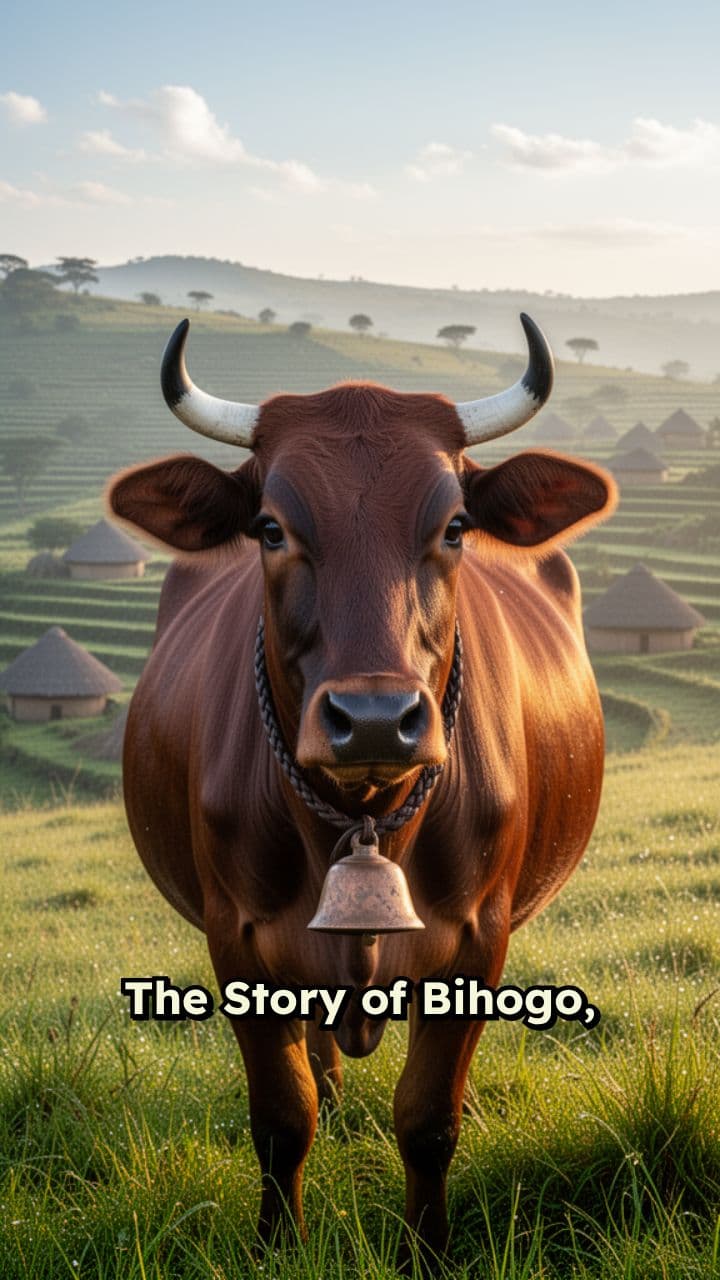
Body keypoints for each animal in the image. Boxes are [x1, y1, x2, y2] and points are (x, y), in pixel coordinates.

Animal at [108, 314, 616, 1263]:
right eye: (270, 528)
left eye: (455, 525)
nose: (376, 719)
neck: (364, 819)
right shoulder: (237, 940)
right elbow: (282, 1116)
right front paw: (279, 1243)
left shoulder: (479, 941)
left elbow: (428, 1119)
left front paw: (427, 1250)